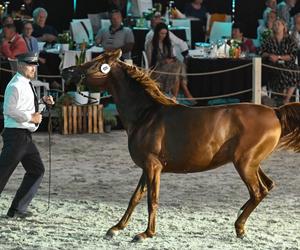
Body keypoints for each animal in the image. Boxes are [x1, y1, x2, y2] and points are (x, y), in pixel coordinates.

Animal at [62, 49, 300, 241]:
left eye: (94, 63)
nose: (66, 71)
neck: (146, 115)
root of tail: (275, 112)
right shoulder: (146, 168)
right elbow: (135, 198)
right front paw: (115, 228)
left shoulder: (153, 166)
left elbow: (152, 199)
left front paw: (145, 234)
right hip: (251, 163)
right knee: (267, 187)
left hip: (245, 163)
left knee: (258, 191)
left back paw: (239, 228)